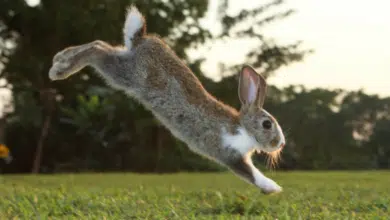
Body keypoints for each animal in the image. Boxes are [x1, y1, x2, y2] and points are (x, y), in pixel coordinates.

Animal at [48, 5, 286, 194]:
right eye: (267, 124)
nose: (280, 143)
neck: (243, 127)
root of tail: (142, 39)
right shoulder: (229, 154)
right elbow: (251, 174)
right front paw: (274, 188)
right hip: (125, 74)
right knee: (96, 51)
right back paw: (58, 70)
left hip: (124, 61)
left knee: (100, 44)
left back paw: (60, 58)